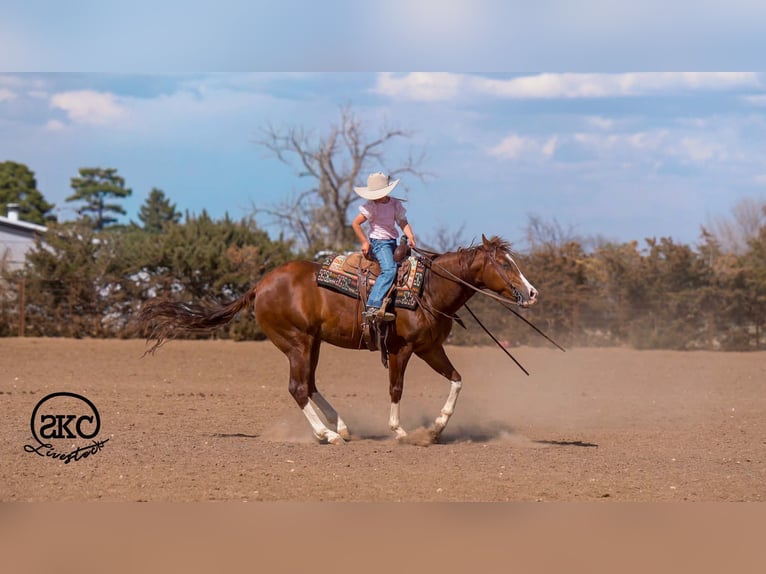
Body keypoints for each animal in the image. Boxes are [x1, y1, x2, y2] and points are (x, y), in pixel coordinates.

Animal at [137, 234, 538, 444]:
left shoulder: (430, 348)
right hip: (296, 342)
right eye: (505, 265)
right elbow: (396, 389)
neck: (429, 289)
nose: (532, 293)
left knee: (310, 384)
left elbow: (457, 381)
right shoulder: (402, 350)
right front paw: (400, 431)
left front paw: (436, 428)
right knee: (298, 387)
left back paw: (340, 427)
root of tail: (260, 285)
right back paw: (325, 434)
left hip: (311, 342)